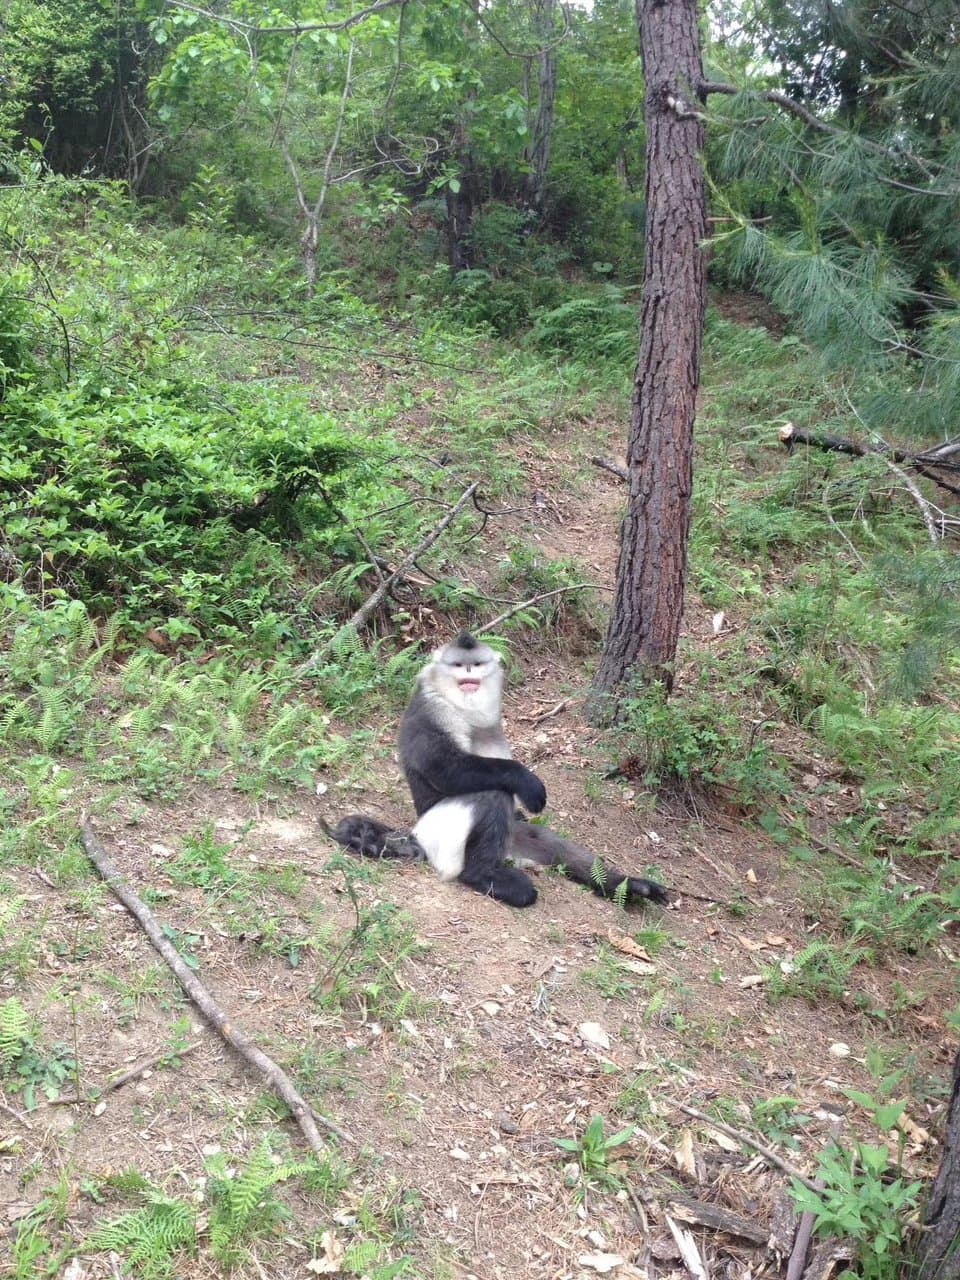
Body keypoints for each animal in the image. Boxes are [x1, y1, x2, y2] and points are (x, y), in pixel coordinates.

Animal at [324, 632, 670, 910]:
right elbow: (446, 767)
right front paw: (528, 783)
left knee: (545, 840)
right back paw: (487, 877)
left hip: (514, 839)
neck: (462, 707)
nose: (467, 672)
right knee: (492, 793)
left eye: (476, 663)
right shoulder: (430, 711)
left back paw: (629, 886)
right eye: (457, 664)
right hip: (441, 835)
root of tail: (415, 835)